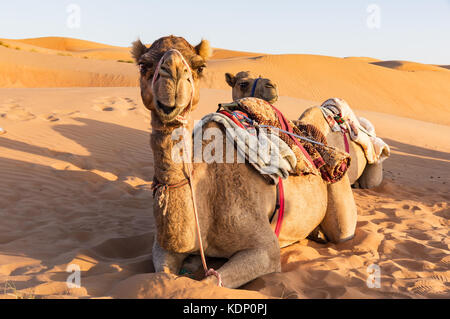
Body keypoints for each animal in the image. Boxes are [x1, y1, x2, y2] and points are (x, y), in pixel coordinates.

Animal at [132, 35, 356, 290]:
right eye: (143, 65)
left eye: (199, 67)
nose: (173, 76)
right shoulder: (162, 247)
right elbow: (164, 274)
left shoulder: (265, 249)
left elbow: (209, 282)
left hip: (339, 194)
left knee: (342, 231)